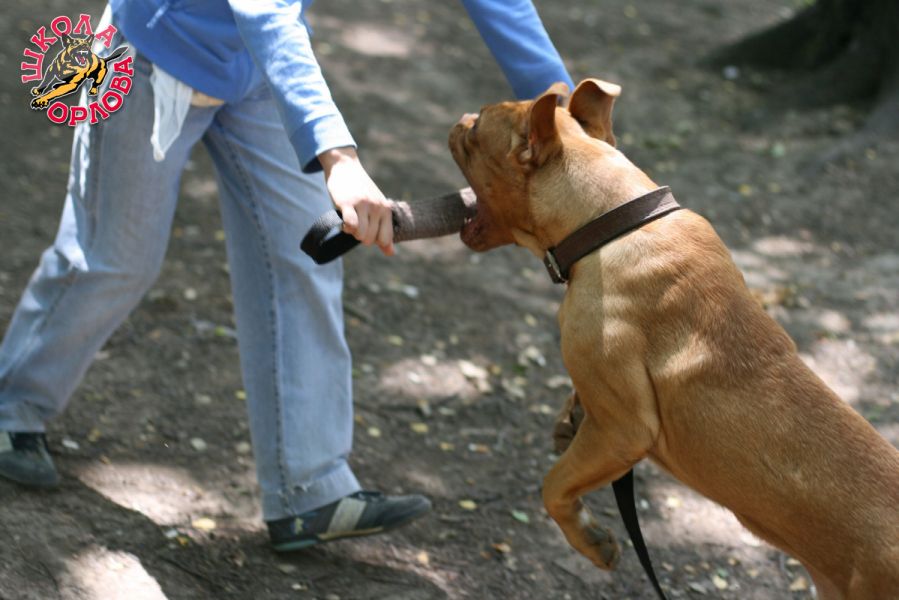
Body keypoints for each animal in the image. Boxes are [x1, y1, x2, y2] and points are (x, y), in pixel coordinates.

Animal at [448, 79, 899, 599]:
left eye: (477, 129)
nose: (458, 120)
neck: (612, 224)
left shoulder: (622, 432)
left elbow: (554, 486)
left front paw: (591, 541)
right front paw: (567, 421)